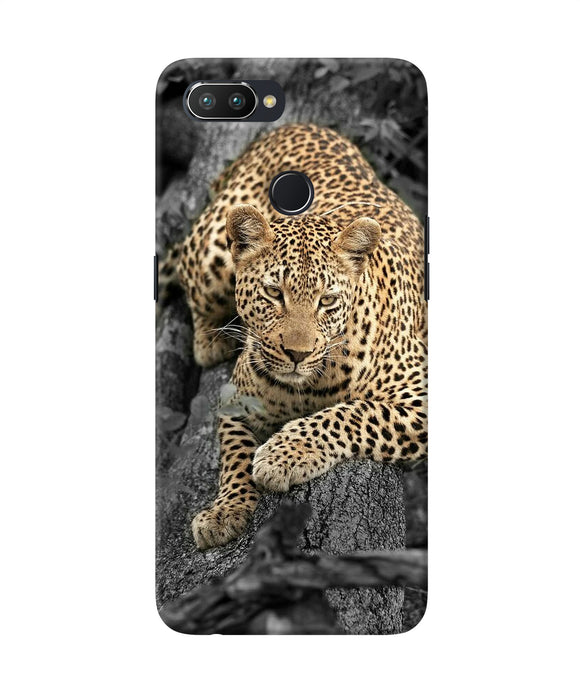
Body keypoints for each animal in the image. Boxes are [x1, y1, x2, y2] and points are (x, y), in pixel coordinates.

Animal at [167, 123, 427, 550]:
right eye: (275, 293)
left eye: (327, 300)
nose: (297, 354)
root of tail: (297, 125)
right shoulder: (234, 400)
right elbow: (234, 455)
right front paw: (225, 511)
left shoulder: (420, 396)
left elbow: (352, 413)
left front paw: (282, 455)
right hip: (212, 254)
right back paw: (211, 340)